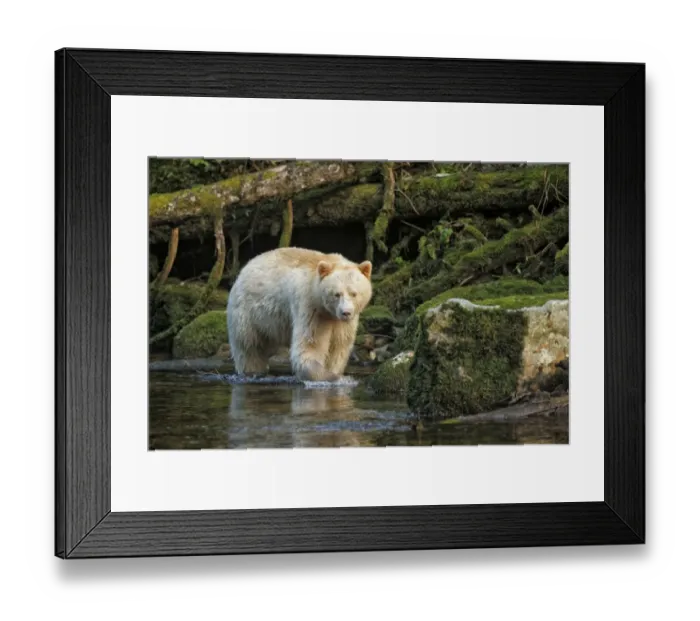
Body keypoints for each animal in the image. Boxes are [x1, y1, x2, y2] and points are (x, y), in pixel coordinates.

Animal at [227, 247, 373, 382]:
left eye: (354, 293)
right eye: (336, 294)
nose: (345, 313)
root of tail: (243, 270)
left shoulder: (341, 322)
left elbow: (339, 345)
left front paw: (335, 372)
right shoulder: (311, 307)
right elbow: (310, 345)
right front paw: (329, 376)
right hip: (247, 313)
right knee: (249, 347)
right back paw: (253, 372)